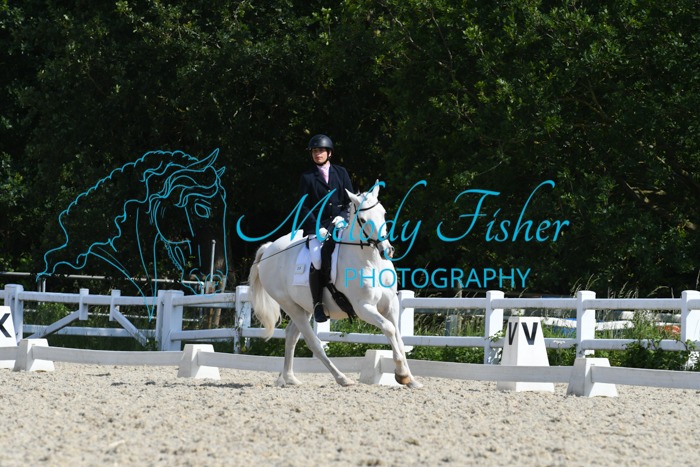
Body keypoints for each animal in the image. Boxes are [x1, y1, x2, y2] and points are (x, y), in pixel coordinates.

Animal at [248, 182, 421, 388]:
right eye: (363, 219)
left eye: (384, 213)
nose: (387, 250)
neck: (370, 261)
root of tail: (269, 249)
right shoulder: (363, 307)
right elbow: (389, 328)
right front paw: (401, 374)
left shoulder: (391, 304)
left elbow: (399, 338)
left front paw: (410, 379)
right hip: (290, 306)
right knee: (313, 343)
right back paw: (342, 378)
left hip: (304, 307)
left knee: (291, 336)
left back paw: (290, 378)